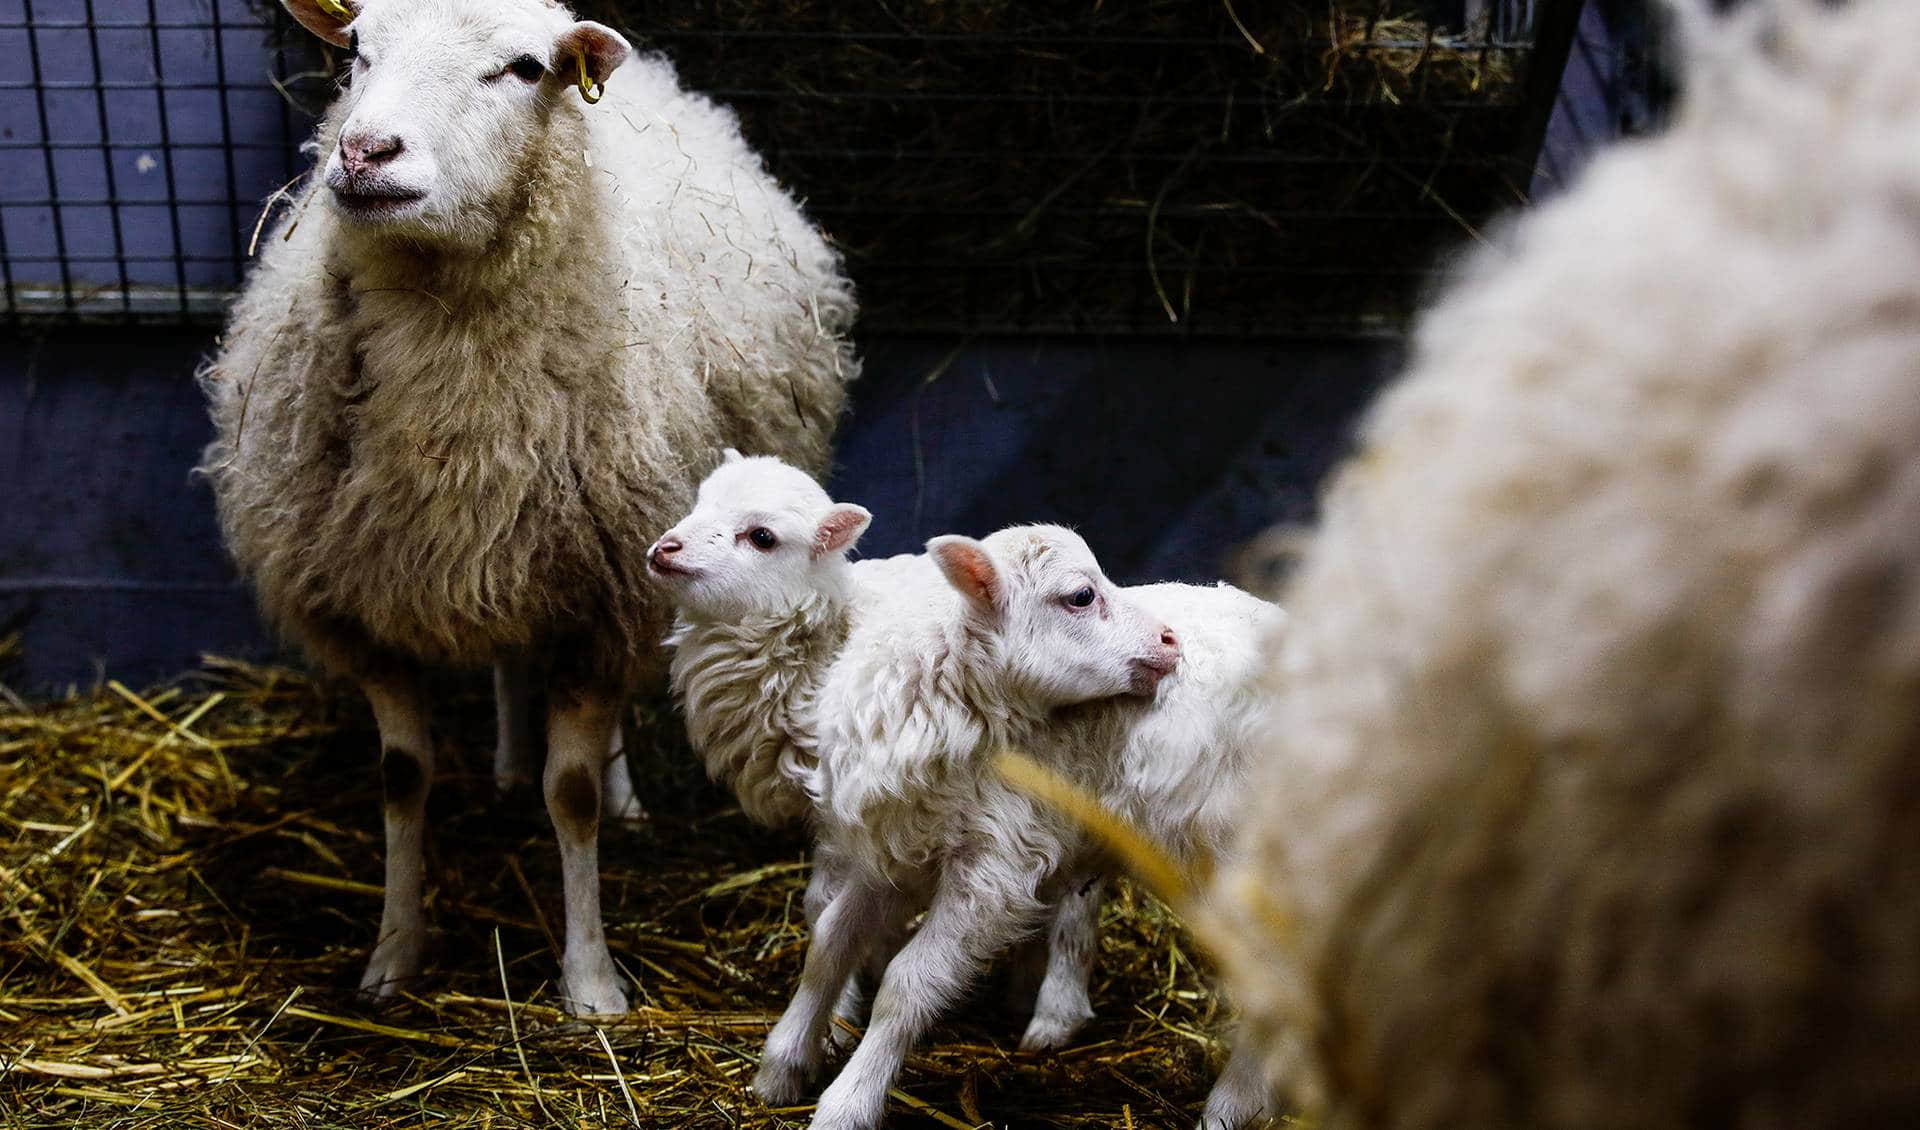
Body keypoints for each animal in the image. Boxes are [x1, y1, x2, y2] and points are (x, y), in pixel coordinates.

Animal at [196, 0, 856, 1012]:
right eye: (356, 51)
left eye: (523, 68)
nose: (365, 151)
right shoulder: (364, 601)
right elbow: (401, 778)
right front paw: (394, 953)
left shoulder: (603, 598)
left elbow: (571, 793)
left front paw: (590, 980)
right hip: (508, 557)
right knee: (510, 659)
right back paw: (507, 763)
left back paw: (622, 799)